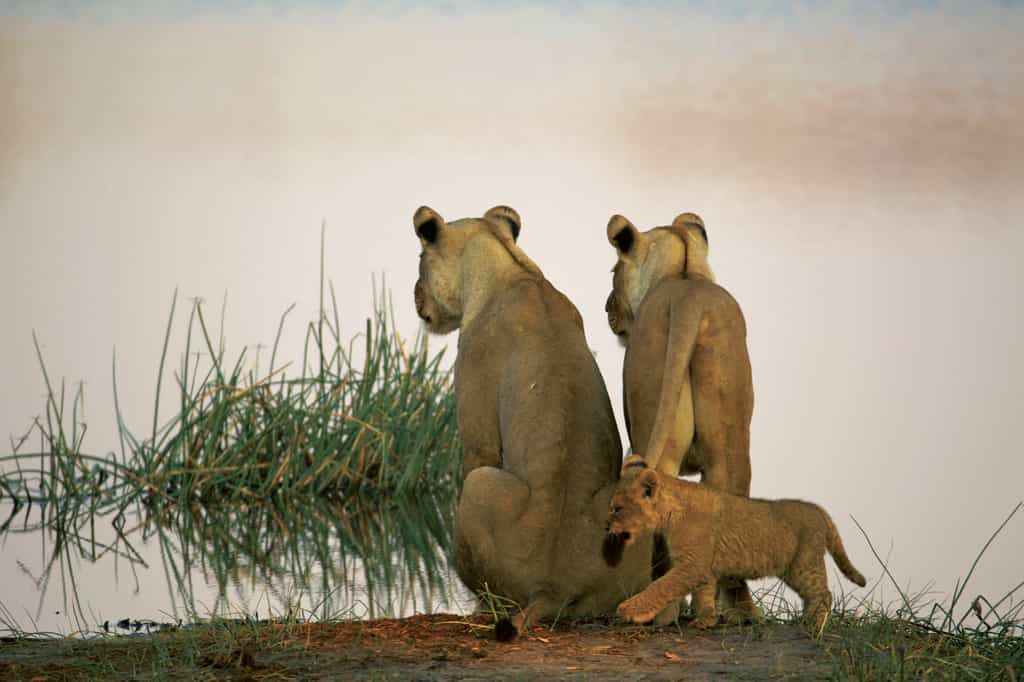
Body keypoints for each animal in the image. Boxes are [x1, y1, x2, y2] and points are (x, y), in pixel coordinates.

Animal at [413, 205, 654, 641]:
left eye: (420, 259)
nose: (416, 296)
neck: (511, 268)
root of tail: (552, 588)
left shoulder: (477, 428)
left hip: (481, 485)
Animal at [602, 457, 867, 631]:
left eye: (617, 509)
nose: (605, 526)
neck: (670, 513)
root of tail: (819, 510)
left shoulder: (691, 566)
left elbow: (660, 587)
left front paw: (629, 611)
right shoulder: (702, 567)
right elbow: (704, 592)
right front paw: (706, 620)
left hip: (803, 565)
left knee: (823, 594)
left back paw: (813, 624)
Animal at [605, 212, 757, 616]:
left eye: (613, 270)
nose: (607, 309)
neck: (682, 272)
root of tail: (691, 302)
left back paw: (660, 611)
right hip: (730, 440)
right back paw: (729, 612)